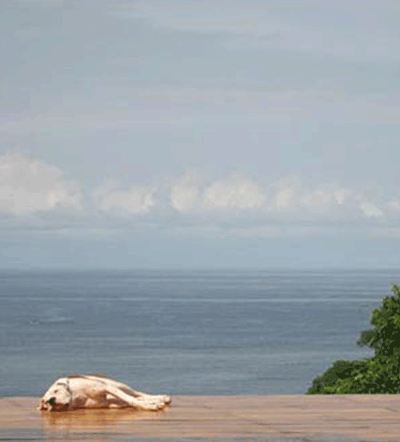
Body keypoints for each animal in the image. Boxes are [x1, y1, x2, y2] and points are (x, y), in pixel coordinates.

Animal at [39, 374, 172, 412]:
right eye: (46, 402)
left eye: (56, 391)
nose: (51, 400)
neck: (76, 397)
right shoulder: (110, 403)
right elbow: (131, 401)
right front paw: (153, 404)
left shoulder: (106, 388)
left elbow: (132, 399)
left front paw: (150, 406)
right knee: (136, 397)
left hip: (117, 385)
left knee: (137, 394)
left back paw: (161, 398)